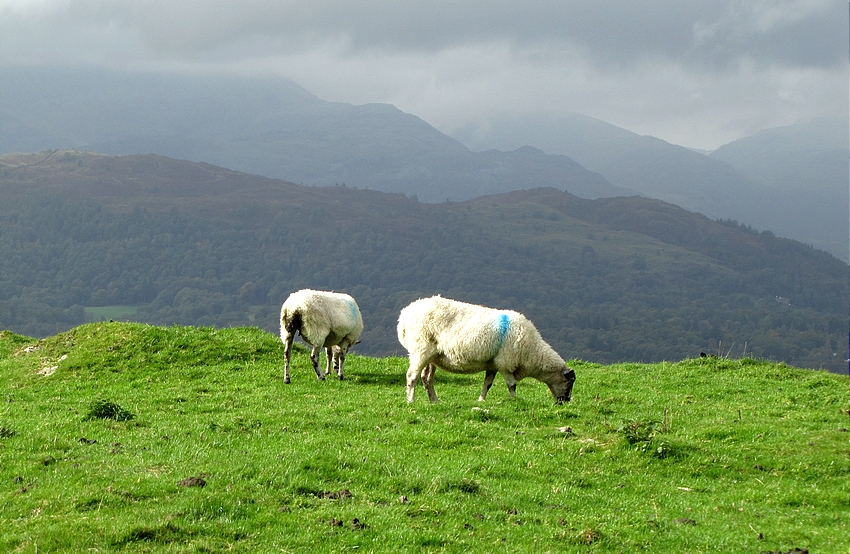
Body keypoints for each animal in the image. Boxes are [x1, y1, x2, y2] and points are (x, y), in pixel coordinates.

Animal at [398, 296, 576, 404]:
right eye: (569, 382)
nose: (565, 402)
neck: (532, 351)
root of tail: (404, 316)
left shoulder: (493, 364)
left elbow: (488, 384)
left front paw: (481, 400)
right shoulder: (505, 363)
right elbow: (512, 385)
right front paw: (515, 400)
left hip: (433, 356)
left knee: (426, 378)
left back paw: (434, 401)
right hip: (420, 349)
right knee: (412, 376)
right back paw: (410, 401)